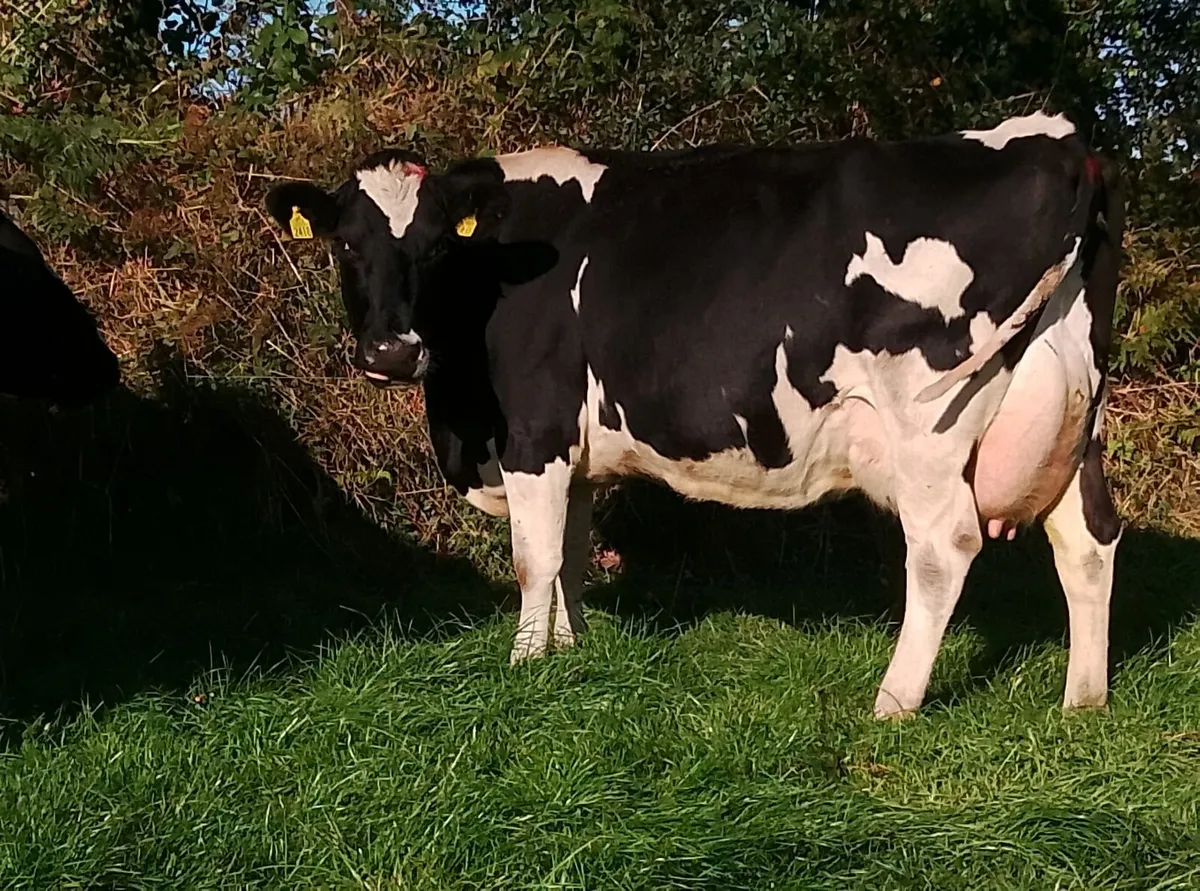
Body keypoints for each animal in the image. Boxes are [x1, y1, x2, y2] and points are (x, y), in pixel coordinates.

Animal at [266, 111, 1124, 718]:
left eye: (440, 248)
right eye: (346, 245)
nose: (390, 351)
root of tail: (1059, 138)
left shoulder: (535, 430)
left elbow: (534, 560)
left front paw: (525, 666)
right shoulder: (576, 451)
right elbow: (571, 553)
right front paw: (572, 653)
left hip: (930, 415)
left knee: (945, 548)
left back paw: (893, 701)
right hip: (1077, 407)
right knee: (1089, 540)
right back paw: (1083, 701)